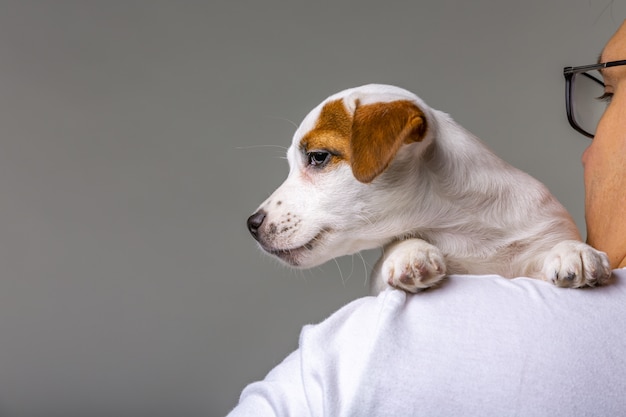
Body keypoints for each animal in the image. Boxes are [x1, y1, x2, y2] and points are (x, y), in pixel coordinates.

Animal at [245, 83, 608, 292]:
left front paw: (575, 252)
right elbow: (396, 250)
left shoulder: (543, 230)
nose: (251, 224)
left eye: (318, 157)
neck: (462, 228)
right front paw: (409, 253)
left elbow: (554, 246)